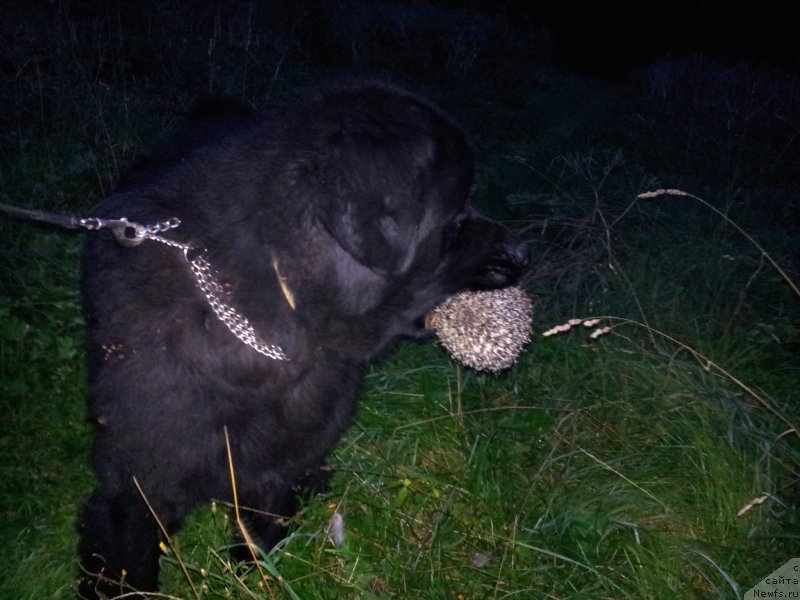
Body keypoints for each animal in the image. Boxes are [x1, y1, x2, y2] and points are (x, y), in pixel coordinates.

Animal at [78, 81, 528, 600]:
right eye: (454, 219)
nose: (524, 252)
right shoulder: (136, 479)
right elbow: (125, 560)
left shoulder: (278, 459)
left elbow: (263, 525)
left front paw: (255, 574)